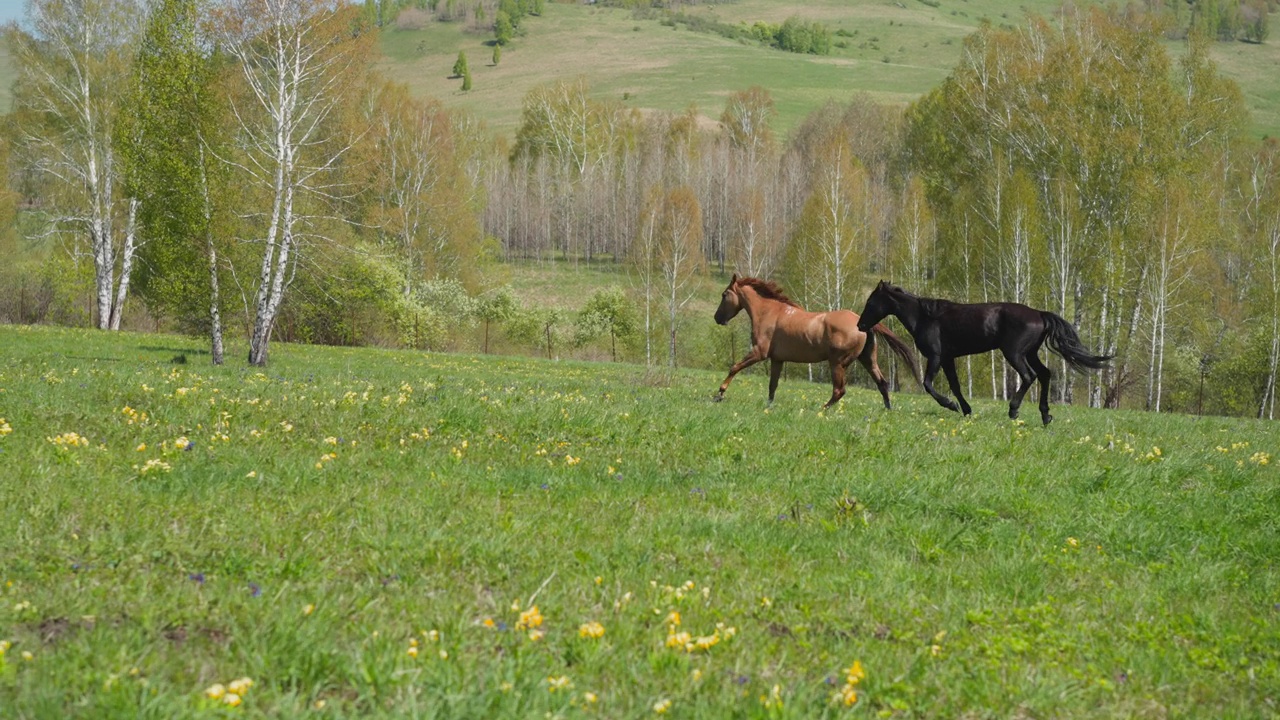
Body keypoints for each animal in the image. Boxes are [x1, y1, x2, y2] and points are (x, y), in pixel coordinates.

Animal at [711, 274, 921, 407]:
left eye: (724, 295)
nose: (717, 318)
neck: (769, 312)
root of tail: (862, 322)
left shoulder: (759, 352)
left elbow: (734, 367)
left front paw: (719, 394)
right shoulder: (777, 359)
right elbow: (772, 385)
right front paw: (769, 406)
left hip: (837, 363)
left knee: (839, 390)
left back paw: (822, 410)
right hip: (868, 359)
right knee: (882, 384)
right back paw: (887, 410)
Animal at [860, 279, 1111, 425]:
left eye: (871, 302)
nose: (860, 326)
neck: (925, 317)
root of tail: (1039, 314)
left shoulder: (936, 356)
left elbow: (928, 384)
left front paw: (950, 405)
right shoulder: (948, 359)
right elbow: (955, 386)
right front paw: (965, 409)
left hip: (1015, 353)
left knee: (1029, 376)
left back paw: (1014, 410)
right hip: (1030, 353)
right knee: (1045, 374)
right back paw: (1045, 415)